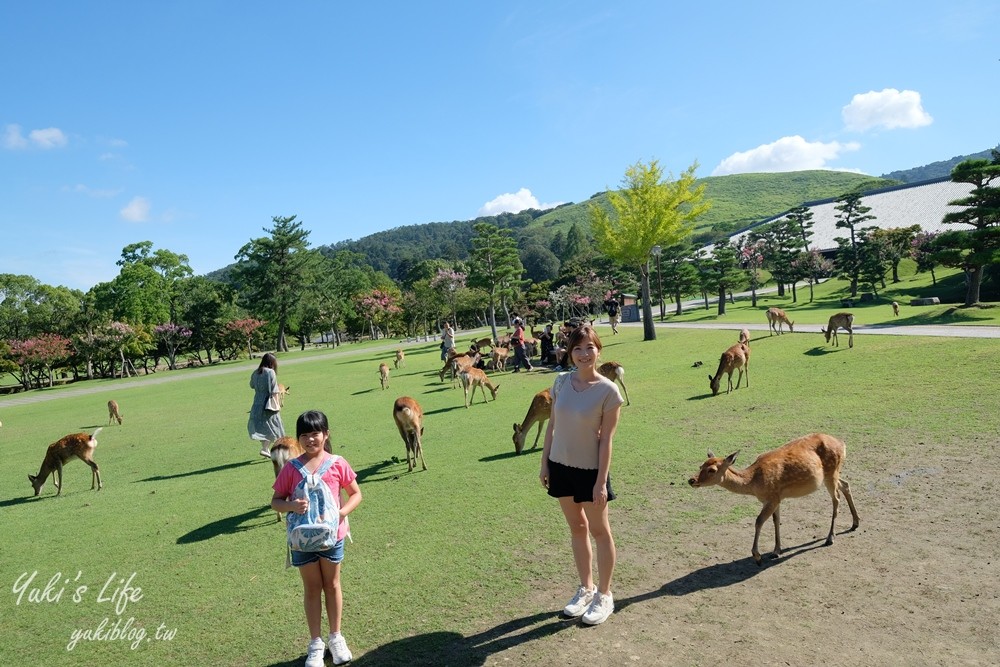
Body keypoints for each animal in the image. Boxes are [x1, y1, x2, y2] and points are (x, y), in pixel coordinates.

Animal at [688, 430, 860, 568]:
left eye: (712, 470)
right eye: (700, 466)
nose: (691, 480)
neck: (754, 483)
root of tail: (842, 444)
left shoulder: (772, 498)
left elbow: (758, 521)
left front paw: (758, 557)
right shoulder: (776, 498)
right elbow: (776, 520)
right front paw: (776, 550)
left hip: (831, 472)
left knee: (836, 498)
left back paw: (830, 537)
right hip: (833, 474)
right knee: (846, 484)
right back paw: (855, 523)